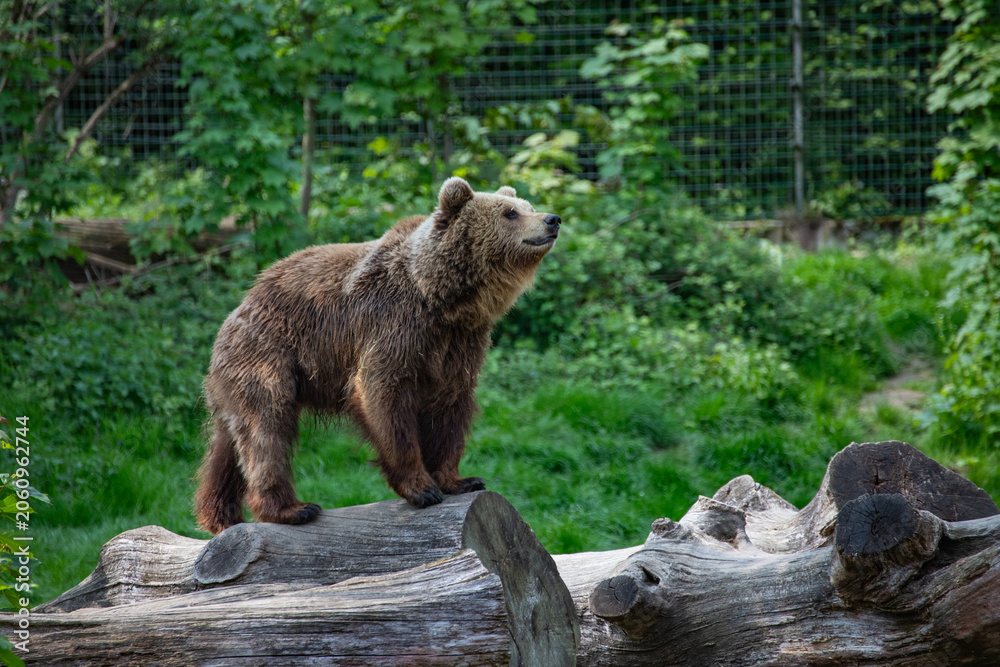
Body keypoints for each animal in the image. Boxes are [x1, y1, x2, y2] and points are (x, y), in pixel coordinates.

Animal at [193, 177, 561, 534]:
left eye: (528, 205)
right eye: (510, 212)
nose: (552, 219)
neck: (442, 298)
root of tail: (239, 307)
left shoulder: (459, 344)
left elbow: (449, 406)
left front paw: (460, 479)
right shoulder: (392, 324)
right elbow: (385, 397)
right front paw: (421, 488)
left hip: (237, 376)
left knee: (227, 445)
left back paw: (219, 514)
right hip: (269, 354)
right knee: (266, 429)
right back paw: (291, 508)